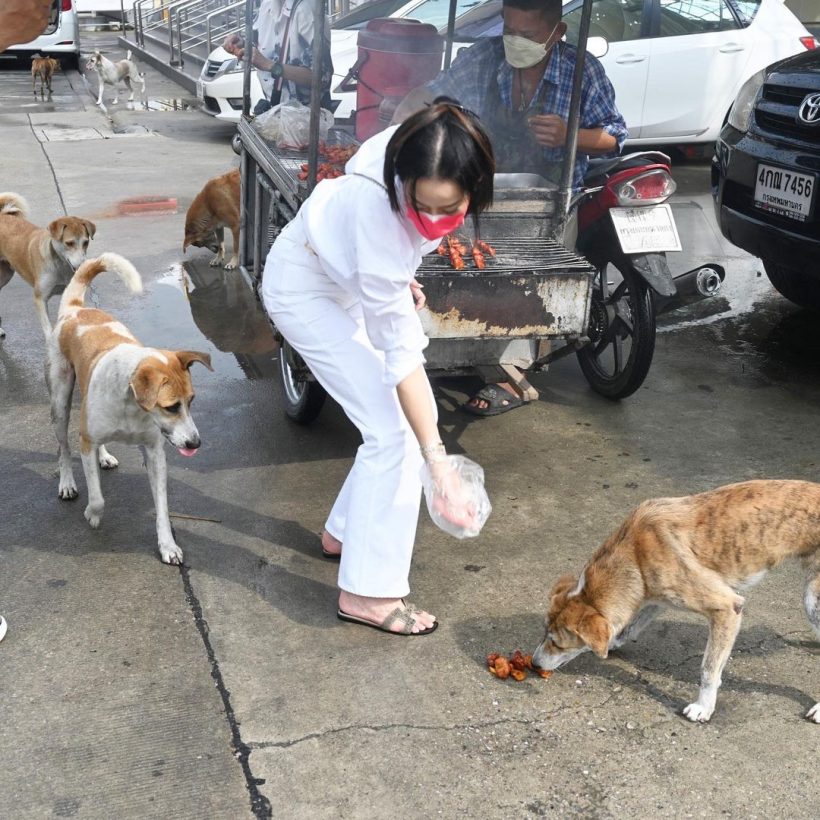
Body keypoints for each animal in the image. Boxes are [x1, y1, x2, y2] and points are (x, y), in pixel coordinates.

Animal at [0, 194, 96, 342]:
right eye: (69, 243)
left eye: (86, 242)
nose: (82, 265)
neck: (60, 266)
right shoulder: (40, 299)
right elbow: (48, 329)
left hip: (5, 274)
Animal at [47, 253, 211, 568]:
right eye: (172, 407)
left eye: (192, 400)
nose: (195, 443)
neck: (132, 405)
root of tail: (76, 310)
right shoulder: (86, 441)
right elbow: (97, 496)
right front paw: (92, 514)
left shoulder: (155, 453)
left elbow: (162, 508)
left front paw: (167, 545)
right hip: (60, 400)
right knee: (63, 446)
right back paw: (67, 483)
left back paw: (104, 456)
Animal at [532, 480, 820, 724]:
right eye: (544, 633)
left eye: (558, 643)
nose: (533, 664)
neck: (633, 552)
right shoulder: (653, 597)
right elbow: (631, 626)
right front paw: (613, 641)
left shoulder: (727, 607)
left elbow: (708, 669)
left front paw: (703, 708)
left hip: (812, 600)